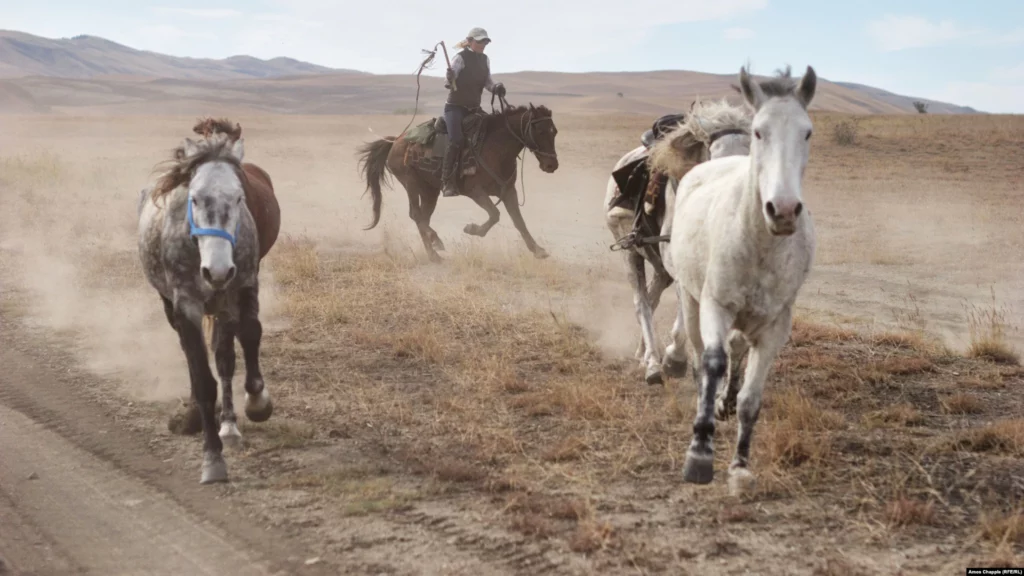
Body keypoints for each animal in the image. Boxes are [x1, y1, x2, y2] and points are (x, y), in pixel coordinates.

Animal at [354, 101, 561, 260]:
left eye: (555, 132)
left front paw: (538, 250)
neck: (495, 148)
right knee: (416, 214)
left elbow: (519, 221)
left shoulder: (509, 191)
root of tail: (396, 141)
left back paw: (434, 248)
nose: (552, 165)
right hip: (410, 183)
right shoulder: (475, 191)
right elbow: (495, 214)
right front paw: (472, 229)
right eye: (540, 131)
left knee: (423, 216)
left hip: (430, 191)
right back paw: (435, 248)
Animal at [598, 98, 753, 385]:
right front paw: (675, 360)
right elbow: (685, 320)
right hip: (630, 252)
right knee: (642, 304)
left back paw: (645, 354)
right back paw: (653, 365)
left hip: (660, 266)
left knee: (652, 296)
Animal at [663, 66, 815, 494]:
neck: (760, 244)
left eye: (807, 133)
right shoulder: (716, 306)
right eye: (760, 131)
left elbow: (751, 397)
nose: (783, 210)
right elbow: (713, 363)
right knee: (700, 355)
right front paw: (699, 454)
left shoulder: (776, 325)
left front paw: (740, 465)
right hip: (691, 300)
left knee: (735, 352)